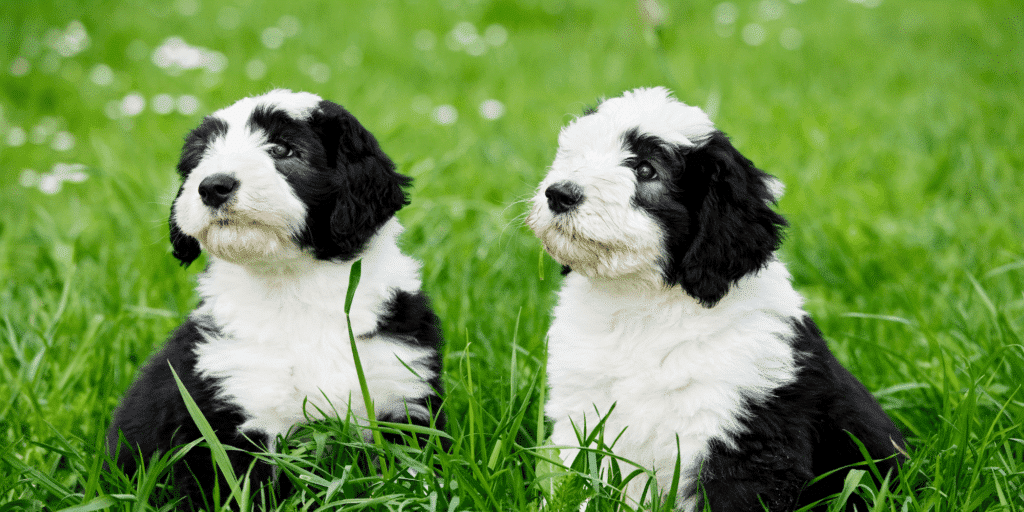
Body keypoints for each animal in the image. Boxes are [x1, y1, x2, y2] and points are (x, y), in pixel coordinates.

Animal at [108, 90, 444, 509]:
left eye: (282, 149)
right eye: (201, 155)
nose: (213, 186)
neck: (293, 290)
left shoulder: (402, 394)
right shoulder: (227, 413)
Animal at [528, 88, 905, 512]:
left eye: (646, 169)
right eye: (577, 154)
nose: (559, 193)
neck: (640, 307)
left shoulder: (742, 437)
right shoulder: (583, 416)